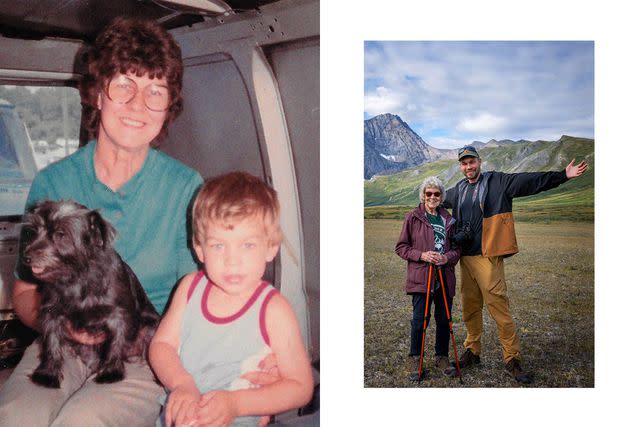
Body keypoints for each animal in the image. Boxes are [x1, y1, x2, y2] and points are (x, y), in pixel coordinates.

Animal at [20, 200, 160, 388]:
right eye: (34, 231)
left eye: (61, 234)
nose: (26, 257)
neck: (77, 277)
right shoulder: (51, 313)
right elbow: (52, 342)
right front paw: (48, 373)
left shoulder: (118, 316)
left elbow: (115, 343)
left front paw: (111, 372)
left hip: (150, 329)